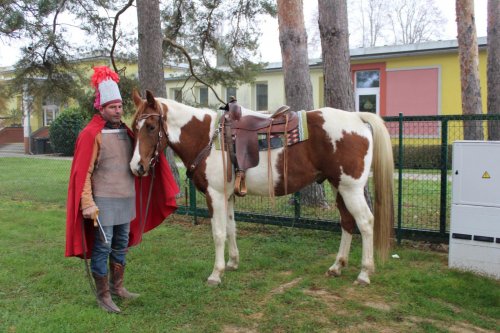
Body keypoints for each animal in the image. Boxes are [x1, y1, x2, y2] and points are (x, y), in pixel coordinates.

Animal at [130, 90, 394, 286]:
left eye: (151, 126)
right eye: (134, 126)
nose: (137, 167)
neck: (208, 137)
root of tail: (357, 118)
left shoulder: (215, 195)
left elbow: (218, 233)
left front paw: (216, 274)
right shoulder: (228, 196)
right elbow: (231, 228)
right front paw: (232, 263)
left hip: (351, 188)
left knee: (365, 222)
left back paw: (364, 273)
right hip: (339, 186)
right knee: (347, 222)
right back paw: (337, 266)